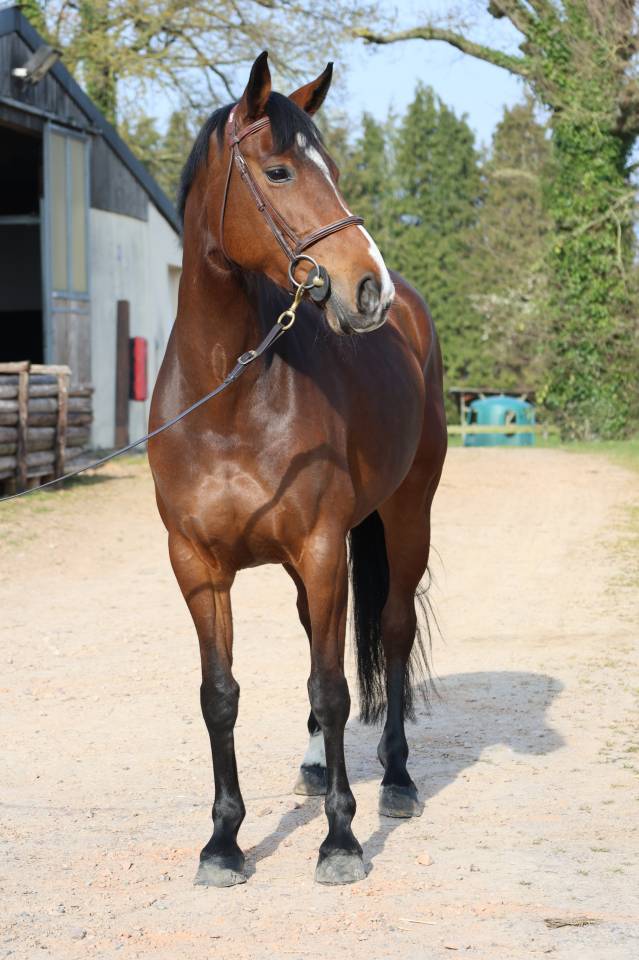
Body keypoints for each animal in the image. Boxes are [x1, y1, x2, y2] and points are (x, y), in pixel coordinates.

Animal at [148, 51, 447, 887]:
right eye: (278, 171)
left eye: (334, 170)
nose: (367, 288)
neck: (227, 399)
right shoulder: (198, 565)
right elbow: (219, 695)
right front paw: (223, 842)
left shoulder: (321, 549)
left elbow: (334, 684)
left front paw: (340, 841)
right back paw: (315, 768)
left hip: (406, 516)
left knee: (392, 631)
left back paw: (397, 779)